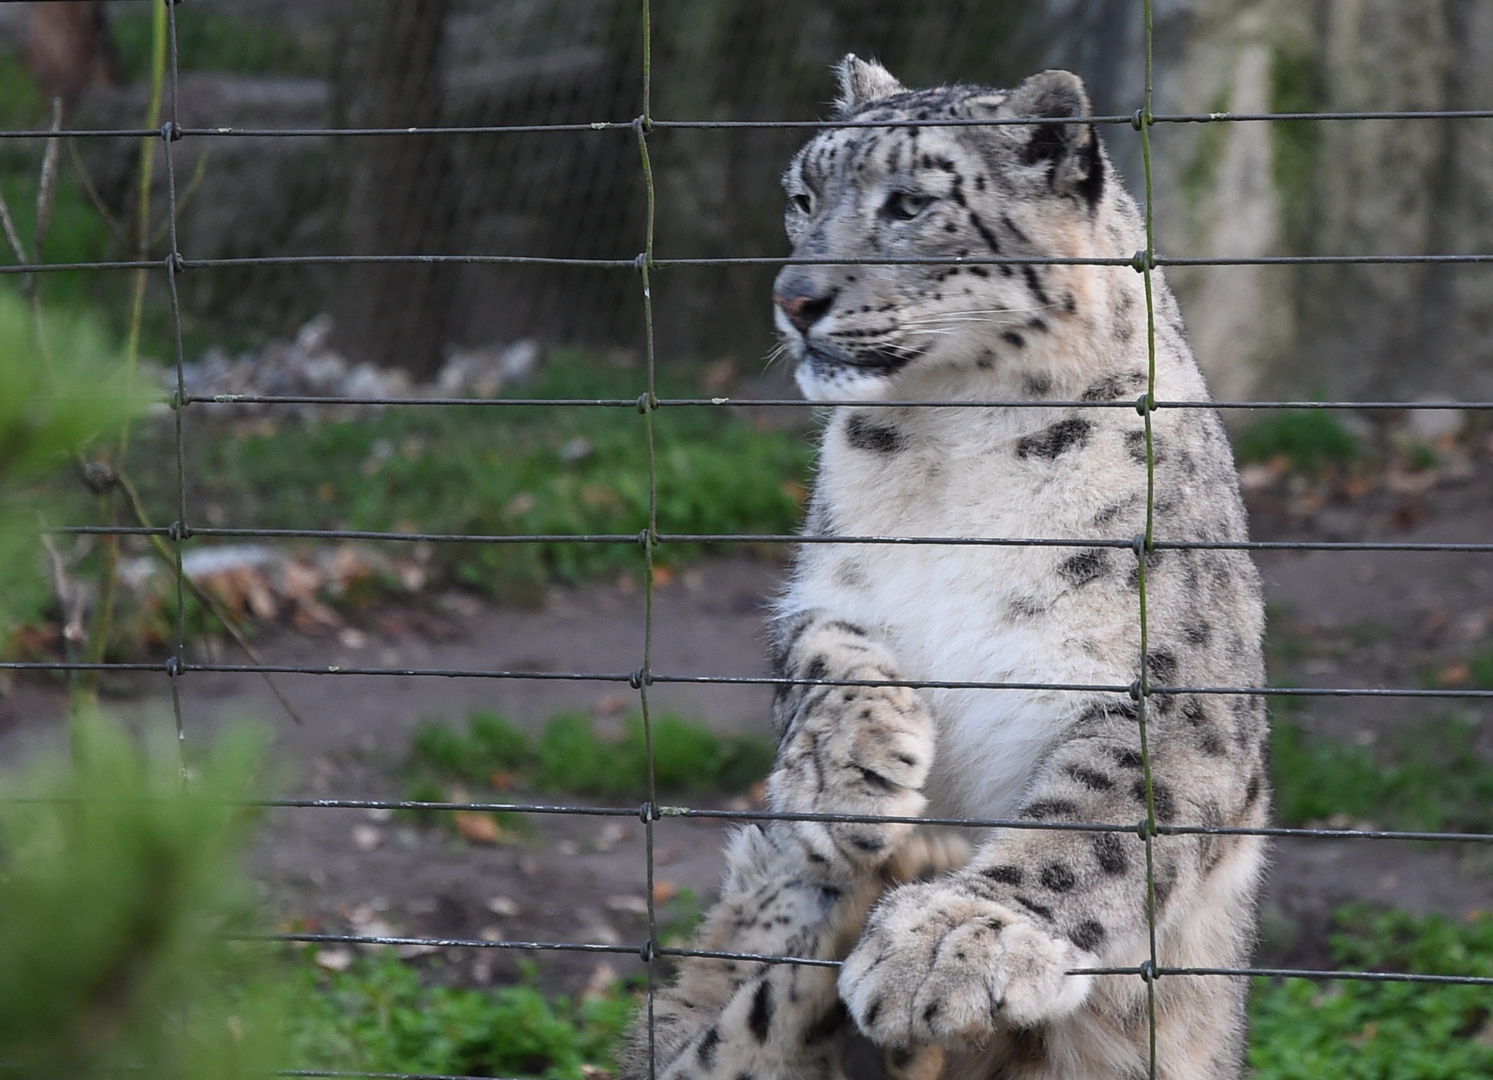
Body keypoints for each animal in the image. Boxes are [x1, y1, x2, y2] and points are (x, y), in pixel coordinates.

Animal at [624, 57, 1266, 1080]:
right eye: (802, 197)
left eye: (910, 203)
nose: (794, 297)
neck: (948, 444)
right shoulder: (821, 586)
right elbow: (822, 659)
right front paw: (841, 784)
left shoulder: (1173, 682)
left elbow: (1099, 816)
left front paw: (950, 941)